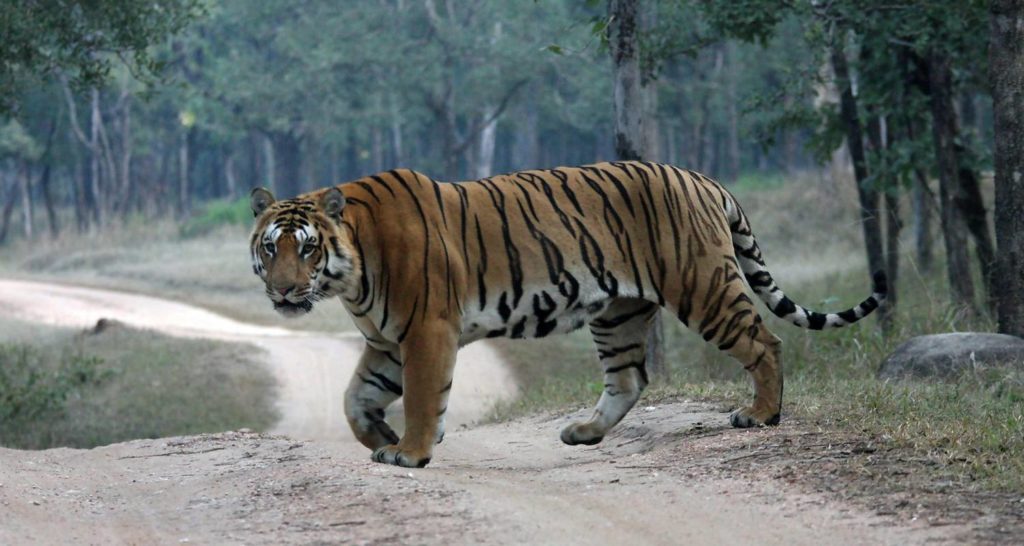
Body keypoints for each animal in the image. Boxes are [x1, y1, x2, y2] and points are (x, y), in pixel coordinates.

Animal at [249, 161, 886, 468]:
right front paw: (380, 435)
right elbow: (354, 400)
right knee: (629, 378)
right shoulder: (386, 342)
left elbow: (425, 396)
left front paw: (410, 451)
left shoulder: (426, 331)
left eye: (307, 248)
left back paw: (761, 415)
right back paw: (584, 432)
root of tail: (704, 179)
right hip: (619, 311)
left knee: (764, 342)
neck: (350, 274)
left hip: (703, 286)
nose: (283, 292)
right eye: (270, 249)